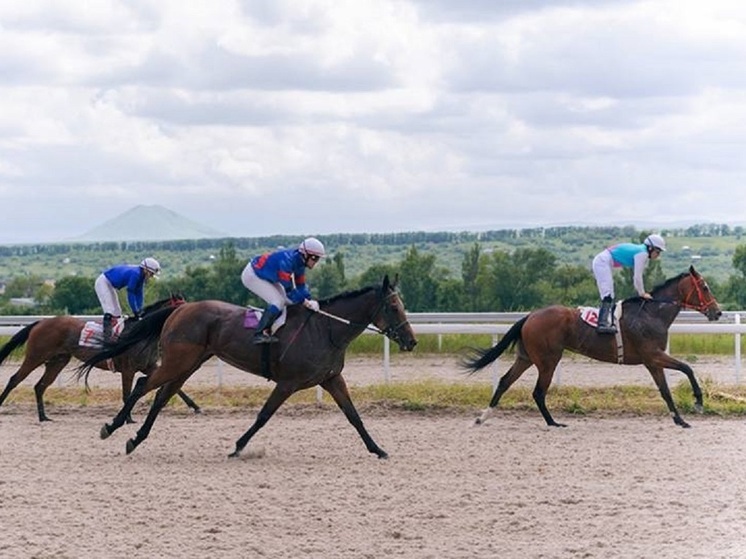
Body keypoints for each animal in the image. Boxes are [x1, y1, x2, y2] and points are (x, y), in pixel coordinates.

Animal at [0, 296, 201, 422]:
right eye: (182, 307)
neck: (142, 333)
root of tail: (41, 322)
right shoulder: (128, 370)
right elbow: (127, 393)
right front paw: (128, 418)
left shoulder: (149, 366)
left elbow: (176, 388)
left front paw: (195, 407)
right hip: (36, 355)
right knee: (15, 379)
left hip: (58, 361)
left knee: (40, 386)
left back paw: (44, 417)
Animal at [77, 276, 416, 460]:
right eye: (394, 306)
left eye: (403, 305)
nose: (411, 341)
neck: (327, 330)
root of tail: (181, 309)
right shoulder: (288, 383)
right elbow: (263, 415)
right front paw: (238, 446)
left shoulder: (331, 379)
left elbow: (354, 416)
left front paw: (378, 449)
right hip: (178, 361)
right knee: (142, 385)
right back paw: (112, 426)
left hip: (188, 364)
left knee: (161, 396)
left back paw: (136, 439)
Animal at [462, 266, 716, 428]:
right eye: (704, 287)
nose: (717, 312)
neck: (652, 313)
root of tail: (530, 316)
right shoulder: (653, 355)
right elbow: (687, 368)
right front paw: (698, 402)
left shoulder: (652, 361)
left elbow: (665, 391)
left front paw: (680, 420)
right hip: (547, 360)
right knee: (538, 391)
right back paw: (553, 422)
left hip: (526, 357)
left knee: (505, 381)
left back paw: (483, 416)